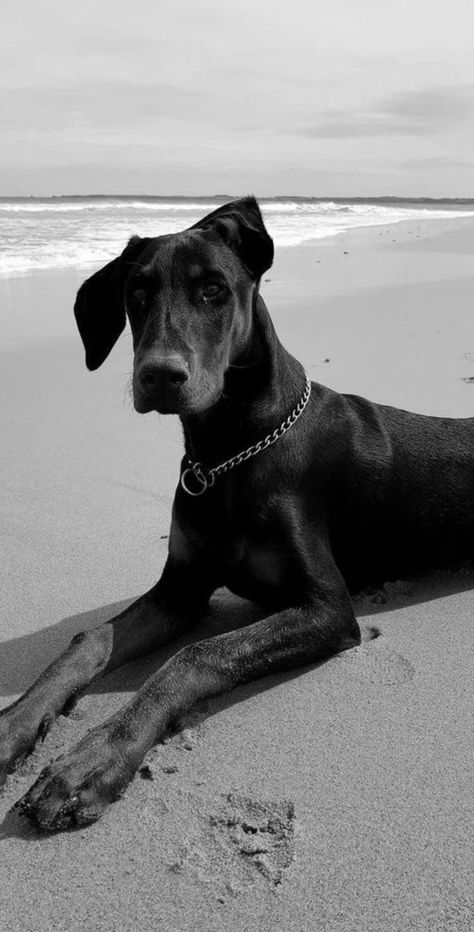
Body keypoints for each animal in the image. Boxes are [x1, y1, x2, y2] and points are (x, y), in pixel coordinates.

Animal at [1, 195, 472, 832]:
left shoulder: (326, 607)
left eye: (213, 289)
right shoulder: (180, 588)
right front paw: (13, 726)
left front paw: (90, 762)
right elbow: (89, 640)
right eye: (137, 293)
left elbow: (195, 655)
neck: (225, 452)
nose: (159, 376)